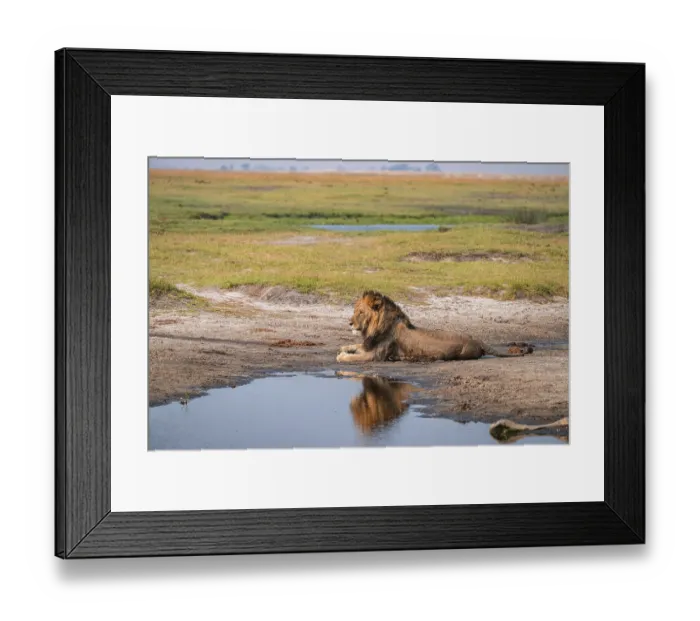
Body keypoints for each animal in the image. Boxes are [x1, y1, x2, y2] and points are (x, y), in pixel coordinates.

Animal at [336, 290, 534, 364]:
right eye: (354, 310)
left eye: (360, 312)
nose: (349, 323)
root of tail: (477, 339)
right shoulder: (368, 345)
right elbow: (354, 346)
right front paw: (345, 348)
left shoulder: (376, 355)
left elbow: (353, 357)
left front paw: (342, 356)